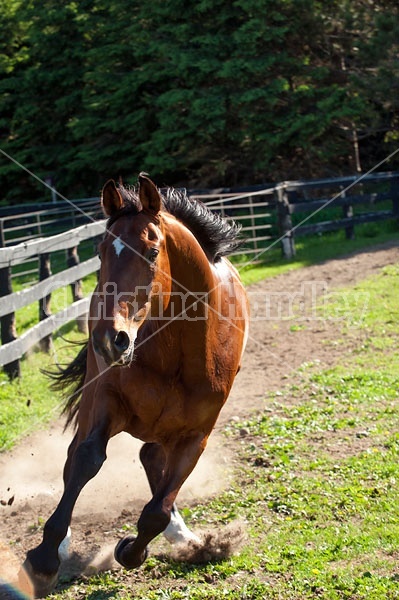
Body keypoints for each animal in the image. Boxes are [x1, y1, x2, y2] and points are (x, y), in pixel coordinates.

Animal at [23, 172, 248, 596]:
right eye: (100, 252)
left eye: (152, 249)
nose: (110, 338)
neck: (180, 350)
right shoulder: (106, 400)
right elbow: (86, 459)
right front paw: (44, 557)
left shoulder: (197, 434)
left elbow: (157, 509)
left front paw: (132, 549)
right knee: (77, 456)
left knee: (151, 460)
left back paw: (183, 536)